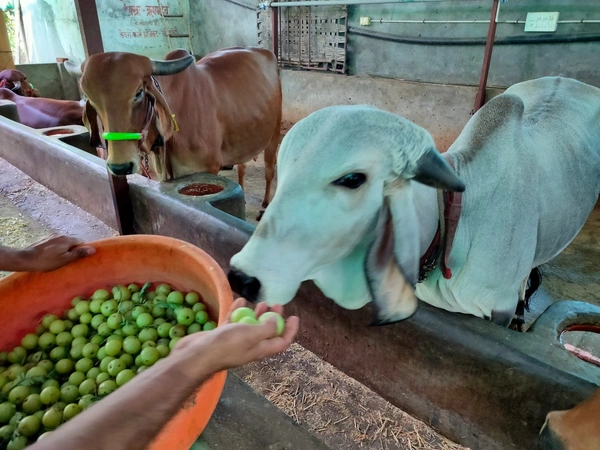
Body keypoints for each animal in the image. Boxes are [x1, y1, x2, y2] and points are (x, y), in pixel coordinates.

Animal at [64, 47, 282, 218]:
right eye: (90, 99)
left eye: (138, 93)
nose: (120, 166)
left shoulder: (204, 169)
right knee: (242, 167)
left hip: (274, 135)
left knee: (269, 171)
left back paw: (265, 205)